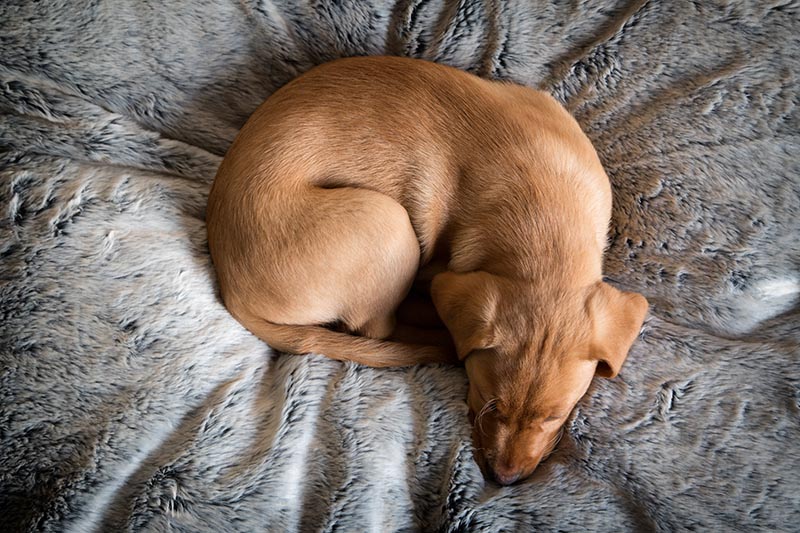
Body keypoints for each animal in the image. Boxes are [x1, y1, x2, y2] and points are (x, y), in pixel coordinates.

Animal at [206, 56, 648, 484]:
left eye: (555, 416)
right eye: (491, 405)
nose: (504, 480)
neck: (544, 220)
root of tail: (230, 289)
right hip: (387, 221)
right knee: (377, 329)